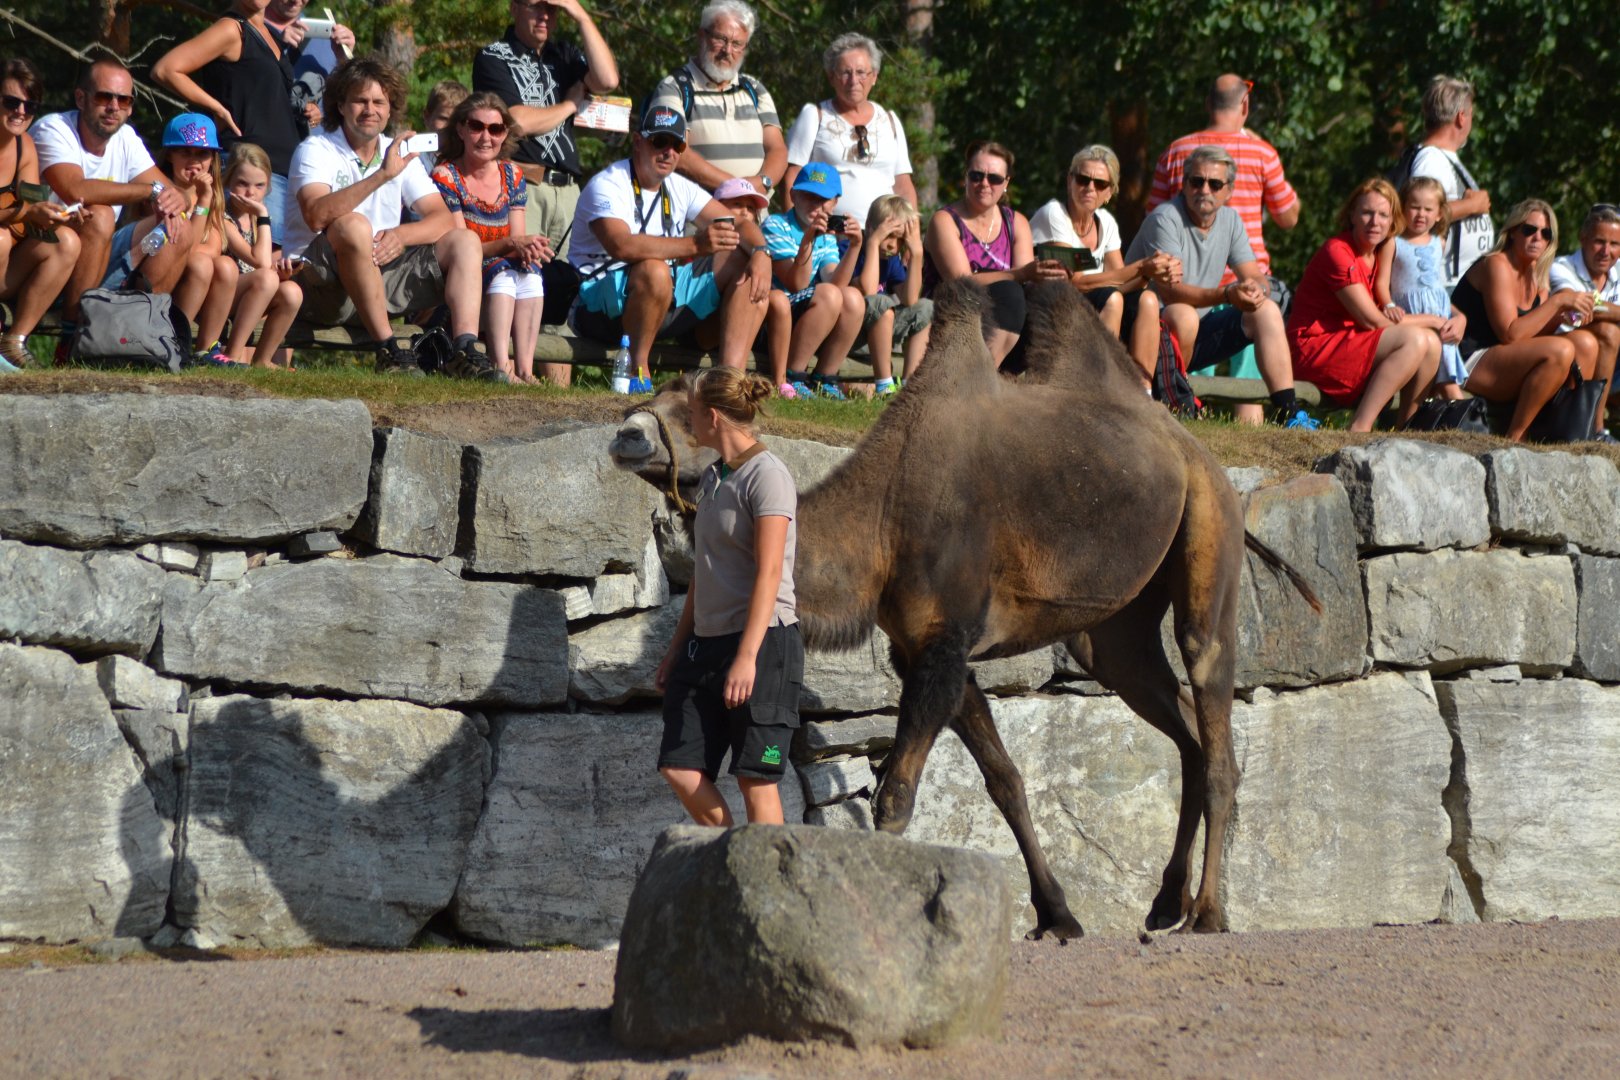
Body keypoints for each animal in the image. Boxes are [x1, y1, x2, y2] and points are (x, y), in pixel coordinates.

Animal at [608, 279, 1318, 937]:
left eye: (690, 406)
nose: (626, 433)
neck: (882, 516)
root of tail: (1197, 448)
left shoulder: (945, 639)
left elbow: (896, 793)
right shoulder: (926, 651)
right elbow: (1005, 780)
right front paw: (1058, 915)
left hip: (1210, 524)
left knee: (1212, 700)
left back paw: (1208, 913)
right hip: (1118, 631)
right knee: (1179, 726)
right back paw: (1166, 901)